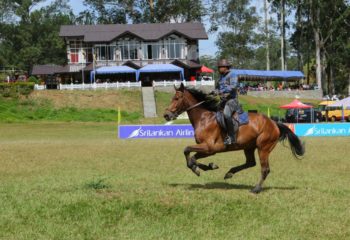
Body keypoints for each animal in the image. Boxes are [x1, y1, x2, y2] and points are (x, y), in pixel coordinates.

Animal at [163, 82, 304, 193]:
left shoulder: (209, 148)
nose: (166, 115)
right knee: (250, 163)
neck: (204, 119)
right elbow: (192, 157)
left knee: (265, 169)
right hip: (249, 147)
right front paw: (207, 166)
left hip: (263, 148)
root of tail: (274, 123)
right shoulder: (208, 150)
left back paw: (256, 189)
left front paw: (199, 168)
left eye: (176, 98)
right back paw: (229, 173)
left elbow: (187, 150)